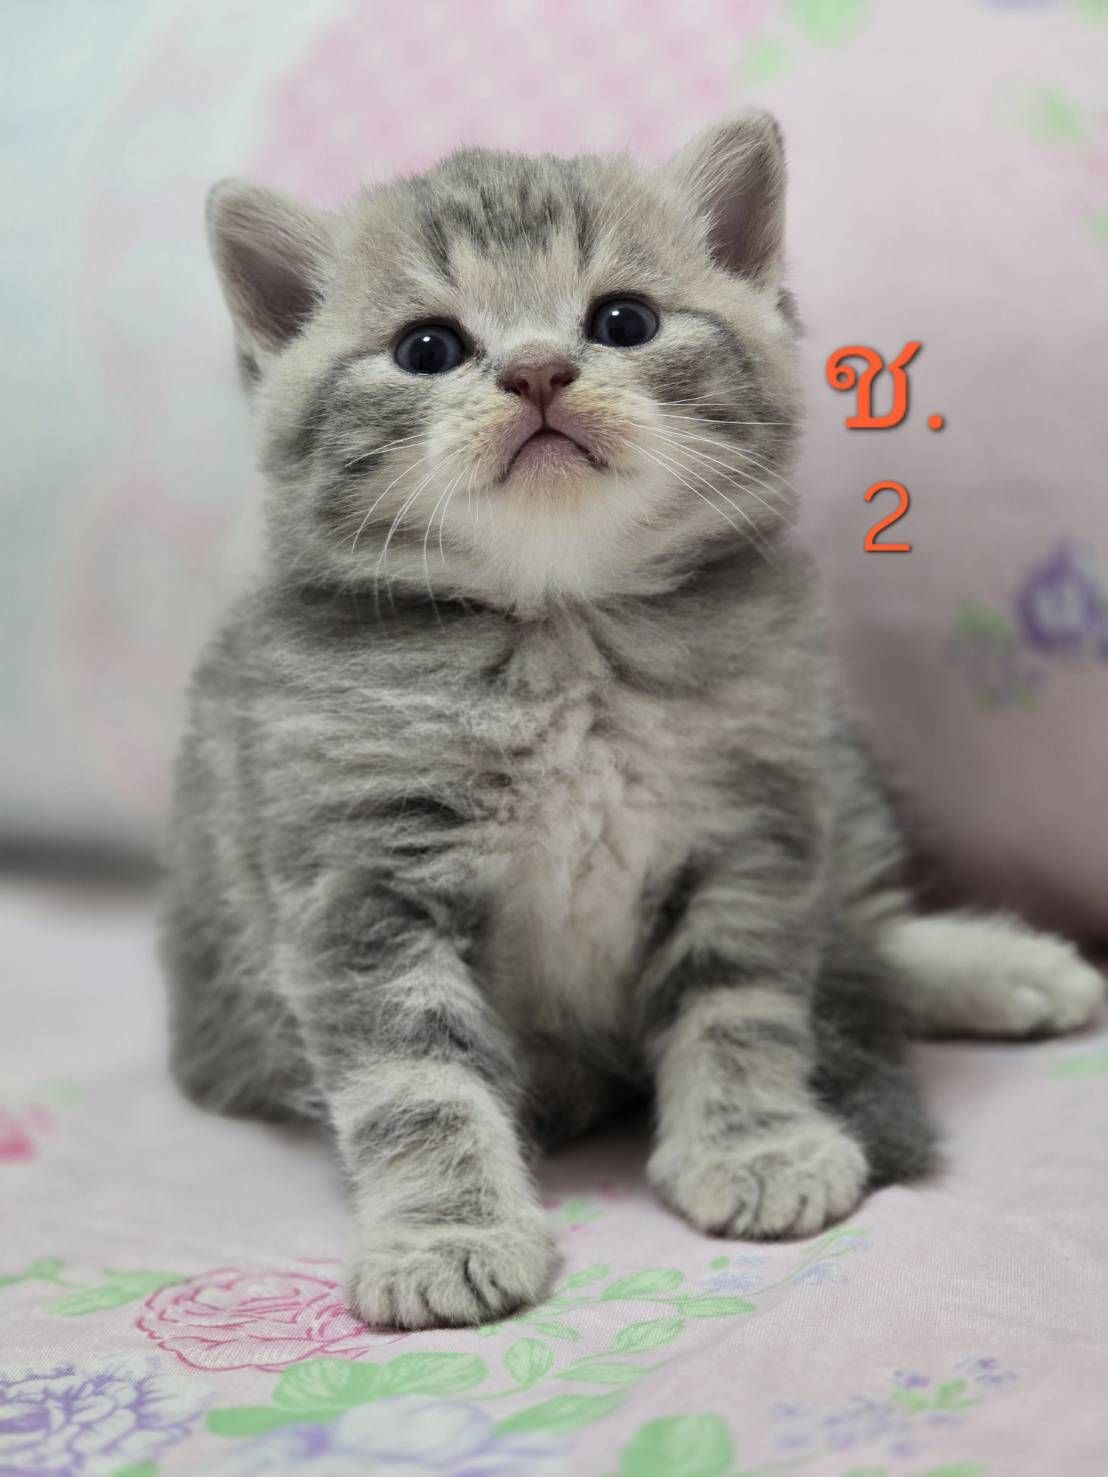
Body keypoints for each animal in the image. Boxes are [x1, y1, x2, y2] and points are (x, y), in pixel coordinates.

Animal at [162, 112, 1104, 1330]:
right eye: (427, 347)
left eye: (623, 322)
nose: (535, 370)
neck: (561, 629)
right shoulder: (356, 881)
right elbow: (415, 1079)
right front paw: (446, 1232)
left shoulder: (750, 820)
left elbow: (744, 1005)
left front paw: (755, 1147)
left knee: (860, 928)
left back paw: (1010, 969)